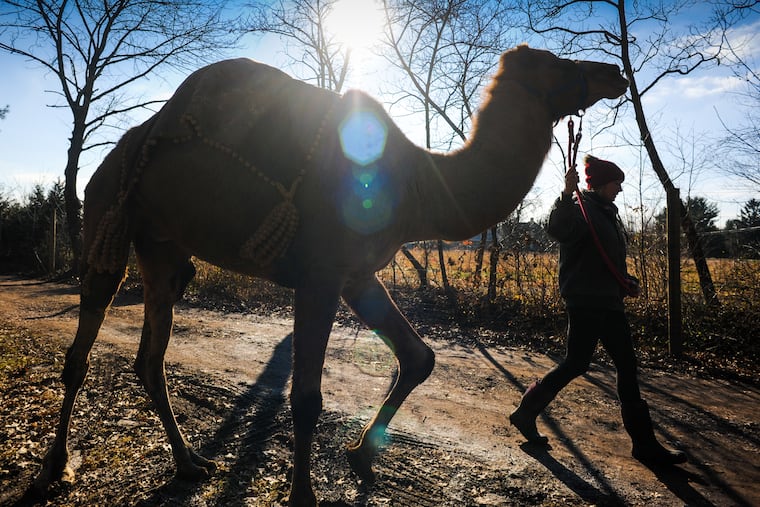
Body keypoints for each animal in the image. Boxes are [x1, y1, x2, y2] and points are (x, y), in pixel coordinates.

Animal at [23, 45, 627, 506]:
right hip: (107, 214)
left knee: (150, 357)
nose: (612, 72)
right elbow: (306, 396)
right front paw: (304, 495)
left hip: (162, 248)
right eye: (555, 63)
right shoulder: (319, 274)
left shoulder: (357, 275)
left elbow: (420, 357)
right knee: (81, 348)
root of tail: (115, 156)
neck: (417, 184)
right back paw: (56, 466)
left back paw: (190, 462)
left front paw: (361, 454)